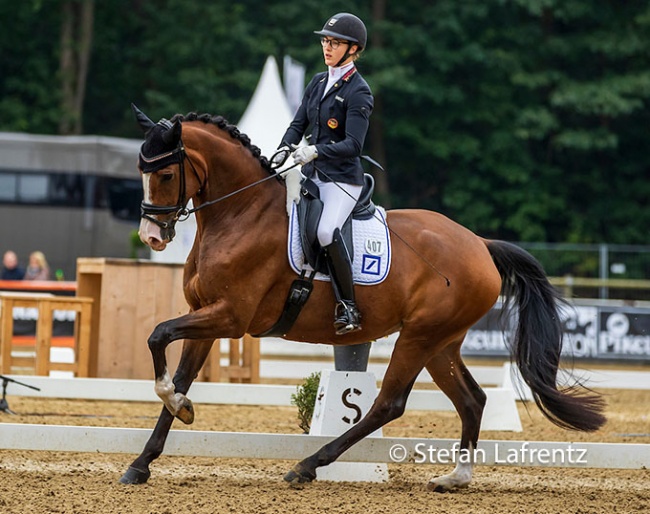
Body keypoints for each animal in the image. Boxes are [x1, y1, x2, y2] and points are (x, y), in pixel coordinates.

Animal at [120, 106, 604, 490]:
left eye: (166, 174)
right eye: (141, 172)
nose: (151, 237)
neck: (242, 213)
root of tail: (479, 244)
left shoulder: (230, 317)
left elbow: (157, 335)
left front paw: (177, 409)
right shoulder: (204, 314)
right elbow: (178, 373)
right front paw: (146, 457)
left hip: (419, 337)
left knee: (386, 403)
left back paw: (308, 466)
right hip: (441, 342)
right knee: (471, 399)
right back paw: (455, 477)